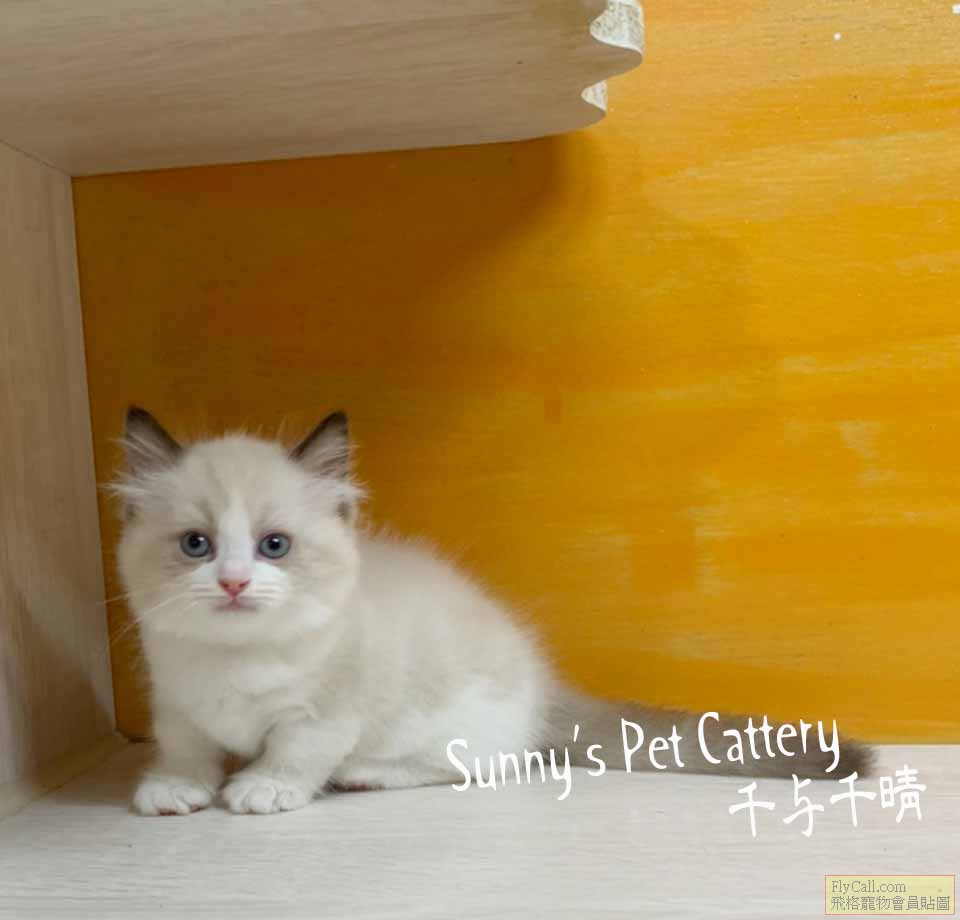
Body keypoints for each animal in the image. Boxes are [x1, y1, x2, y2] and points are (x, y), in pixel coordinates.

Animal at [116, 407, 871, 816]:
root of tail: (545, 684)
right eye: (196, 545)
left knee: (480, 763)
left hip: (453, 723)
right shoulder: (176, 703)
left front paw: (260, 789)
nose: (235, 583)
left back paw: (365, 774)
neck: (234, 660)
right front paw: (174, 789)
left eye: (274, 545)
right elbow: (185, 750)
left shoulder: (326, 714)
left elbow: (293, 754)